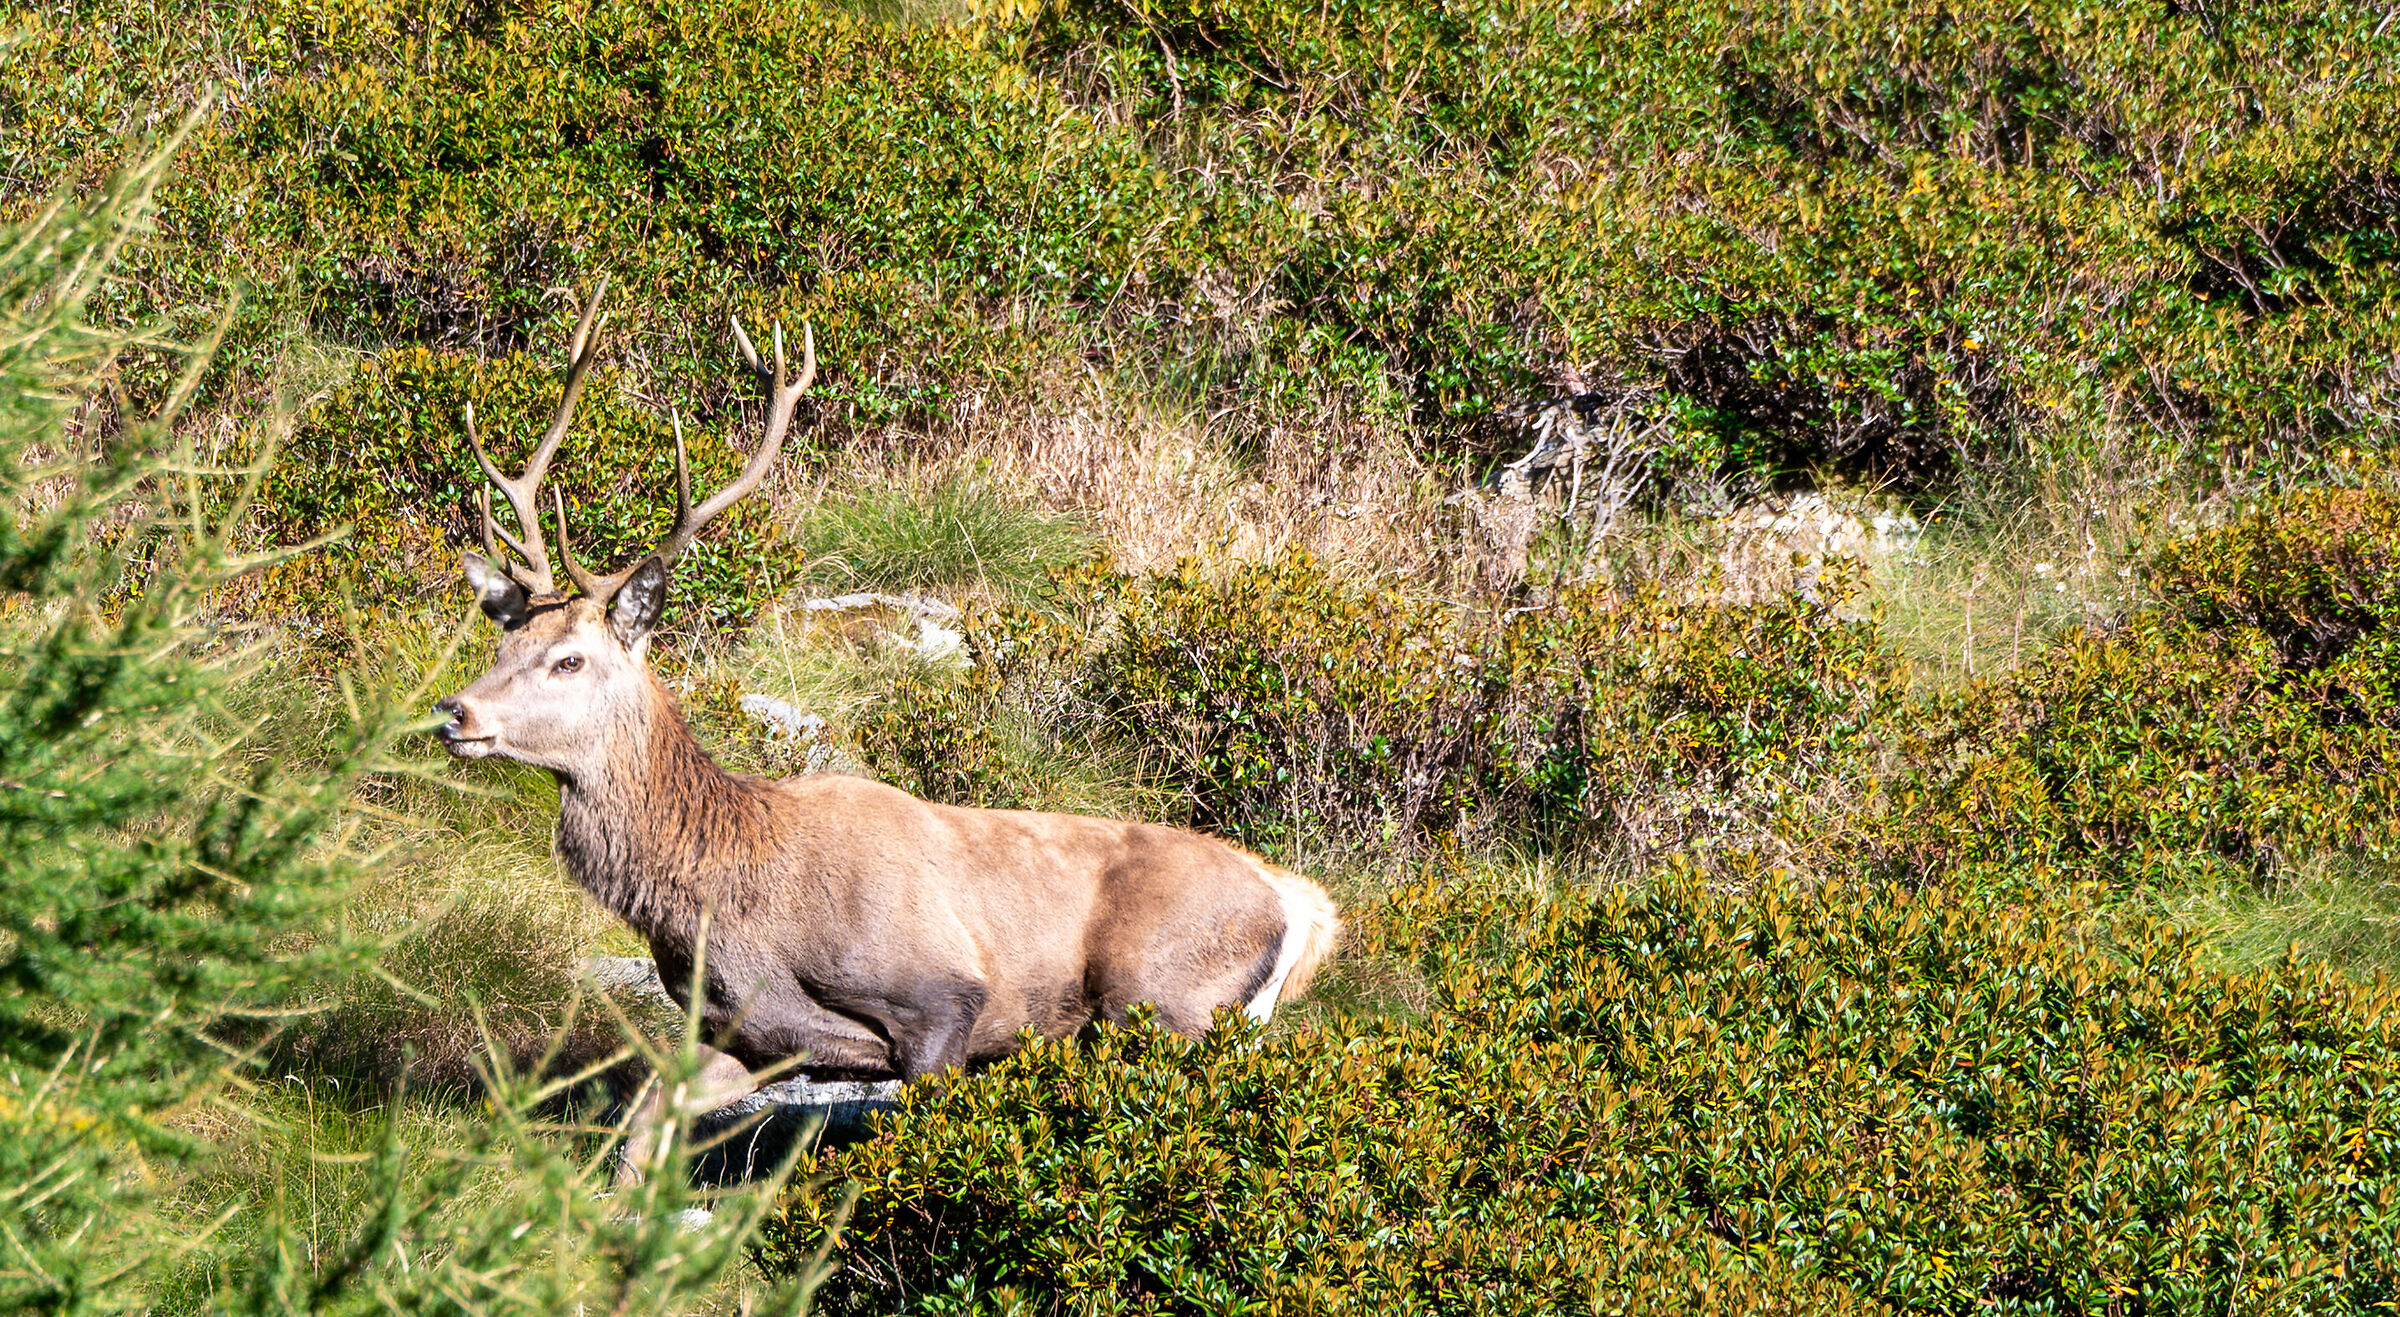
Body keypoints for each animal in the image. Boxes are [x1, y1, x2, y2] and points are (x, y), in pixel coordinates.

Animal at [432, 287, 1340, 1184]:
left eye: (569, 658)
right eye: (503, 644)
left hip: (1166, 1000)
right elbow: (644, 1124)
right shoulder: (739, 1030)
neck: (731, 898)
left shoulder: (942, 999)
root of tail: (1301, 904)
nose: (455, 712)